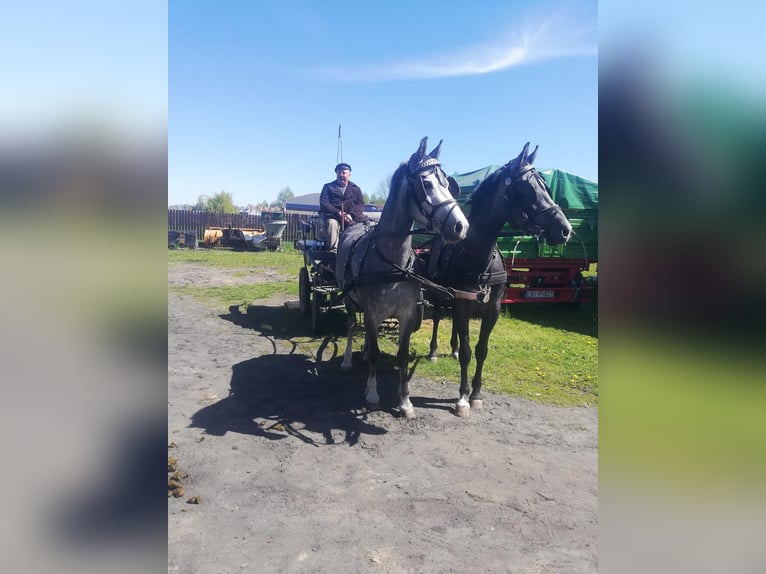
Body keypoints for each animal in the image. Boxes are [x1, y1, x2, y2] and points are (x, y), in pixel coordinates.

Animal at [336, 138, 468, 420]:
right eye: (426, 184)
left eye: (447, 183)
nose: (461, 227)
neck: (391, 261)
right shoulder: (372, 313)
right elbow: (376, 353)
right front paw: (372, 393)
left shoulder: (407, 316)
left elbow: (403, 356)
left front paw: (405, 402)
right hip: (350, 299)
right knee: (352, 325)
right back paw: (348, 360)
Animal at [428, 142, 572, 416]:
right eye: (528, 189)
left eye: (546, 187)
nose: (565, 229)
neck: (478, 257)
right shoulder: (462, 306)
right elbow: (467, 352)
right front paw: (462, 398)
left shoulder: (492, 310)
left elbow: (481, 350)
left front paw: (476, 394)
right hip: (440, 294)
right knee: (440, 317)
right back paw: (433, 351)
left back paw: (451, 348)